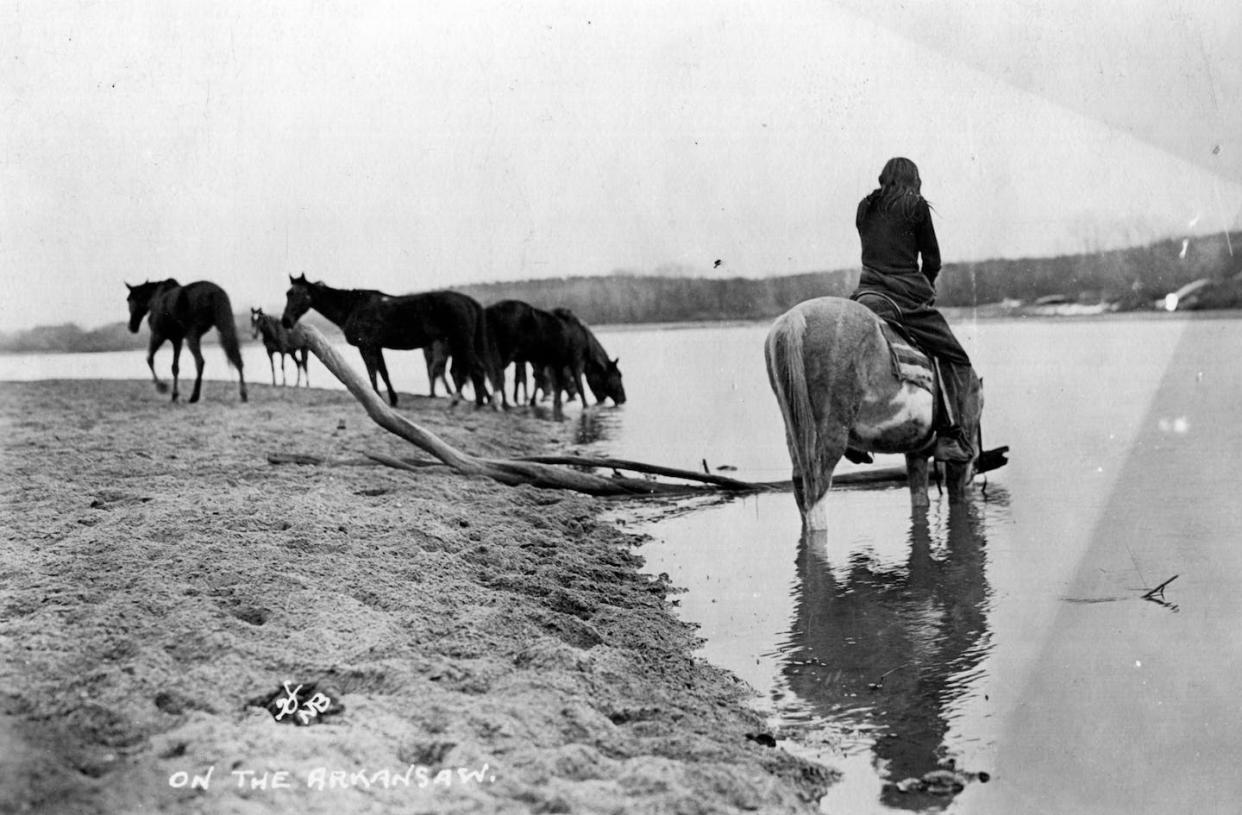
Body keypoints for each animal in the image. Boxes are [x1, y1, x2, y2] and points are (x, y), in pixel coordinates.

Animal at [283, 275, 504, 407]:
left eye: (297, 293)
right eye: (287, 293)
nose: (286, 321)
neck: (353, 306)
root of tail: (468, 300)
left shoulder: (366, 347)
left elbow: (372, 373)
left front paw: (378, 399)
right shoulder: (377, 347)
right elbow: (384, 373)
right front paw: (393, 399)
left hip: (461, 342)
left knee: (475, 369)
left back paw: (474, 403)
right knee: (469, 369)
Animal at [760, 295, 983, 531]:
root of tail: (793, 318)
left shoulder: (916, 453)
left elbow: (920, 503)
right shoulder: (957, 464)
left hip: (796, 436)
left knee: (801, 489)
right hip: (828, 438)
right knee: (816, 498)